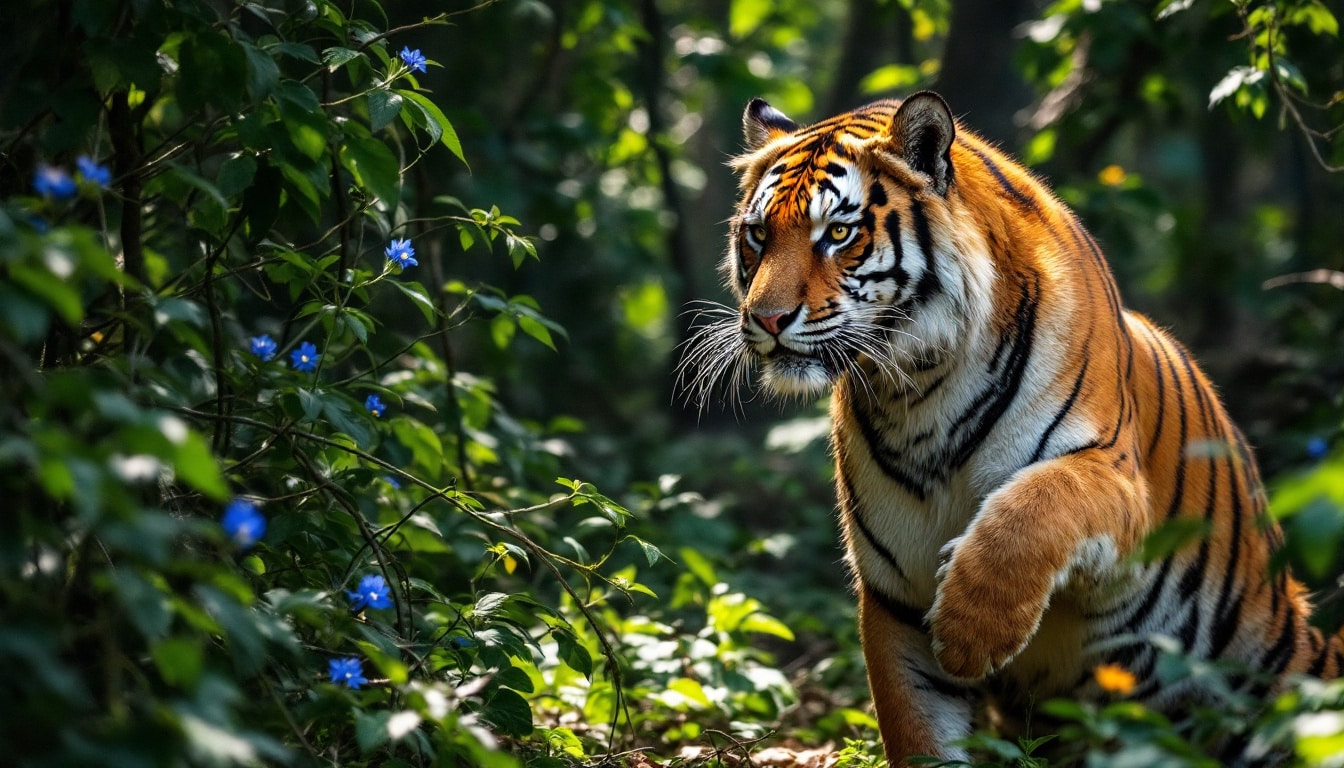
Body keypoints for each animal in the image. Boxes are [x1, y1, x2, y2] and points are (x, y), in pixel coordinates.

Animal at [682, 93, 1344, 763]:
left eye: (838, 233)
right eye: (758, 235)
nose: (766, 319)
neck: (919, 389)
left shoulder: (1115, 477)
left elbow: (1033, 508)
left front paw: (971, 634)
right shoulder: (895, 599)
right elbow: (916, 730)